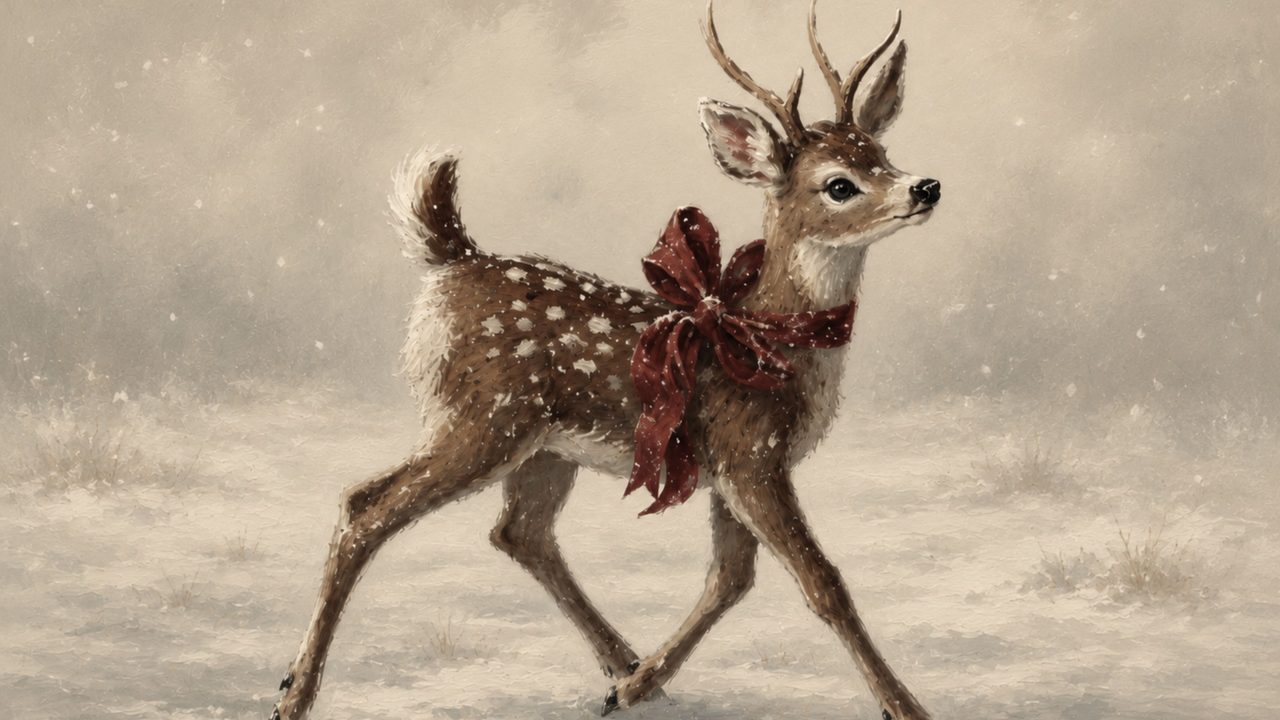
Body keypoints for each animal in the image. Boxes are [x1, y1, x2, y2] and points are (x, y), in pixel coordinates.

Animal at [272, 1, 941, 719]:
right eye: (839, 184)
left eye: (882, 154)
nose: (925, 186)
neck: (771, 336)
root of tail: (451, 257)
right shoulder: (750, 451)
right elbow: (822, 582)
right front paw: (906, 706)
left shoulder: (735, 466)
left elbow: (730, 579)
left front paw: (640, 684)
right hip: (482, 416)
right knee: (365, 506)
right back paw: (295, 692)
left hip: (543, 447)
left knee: (518, 533)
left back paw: (622, 663)